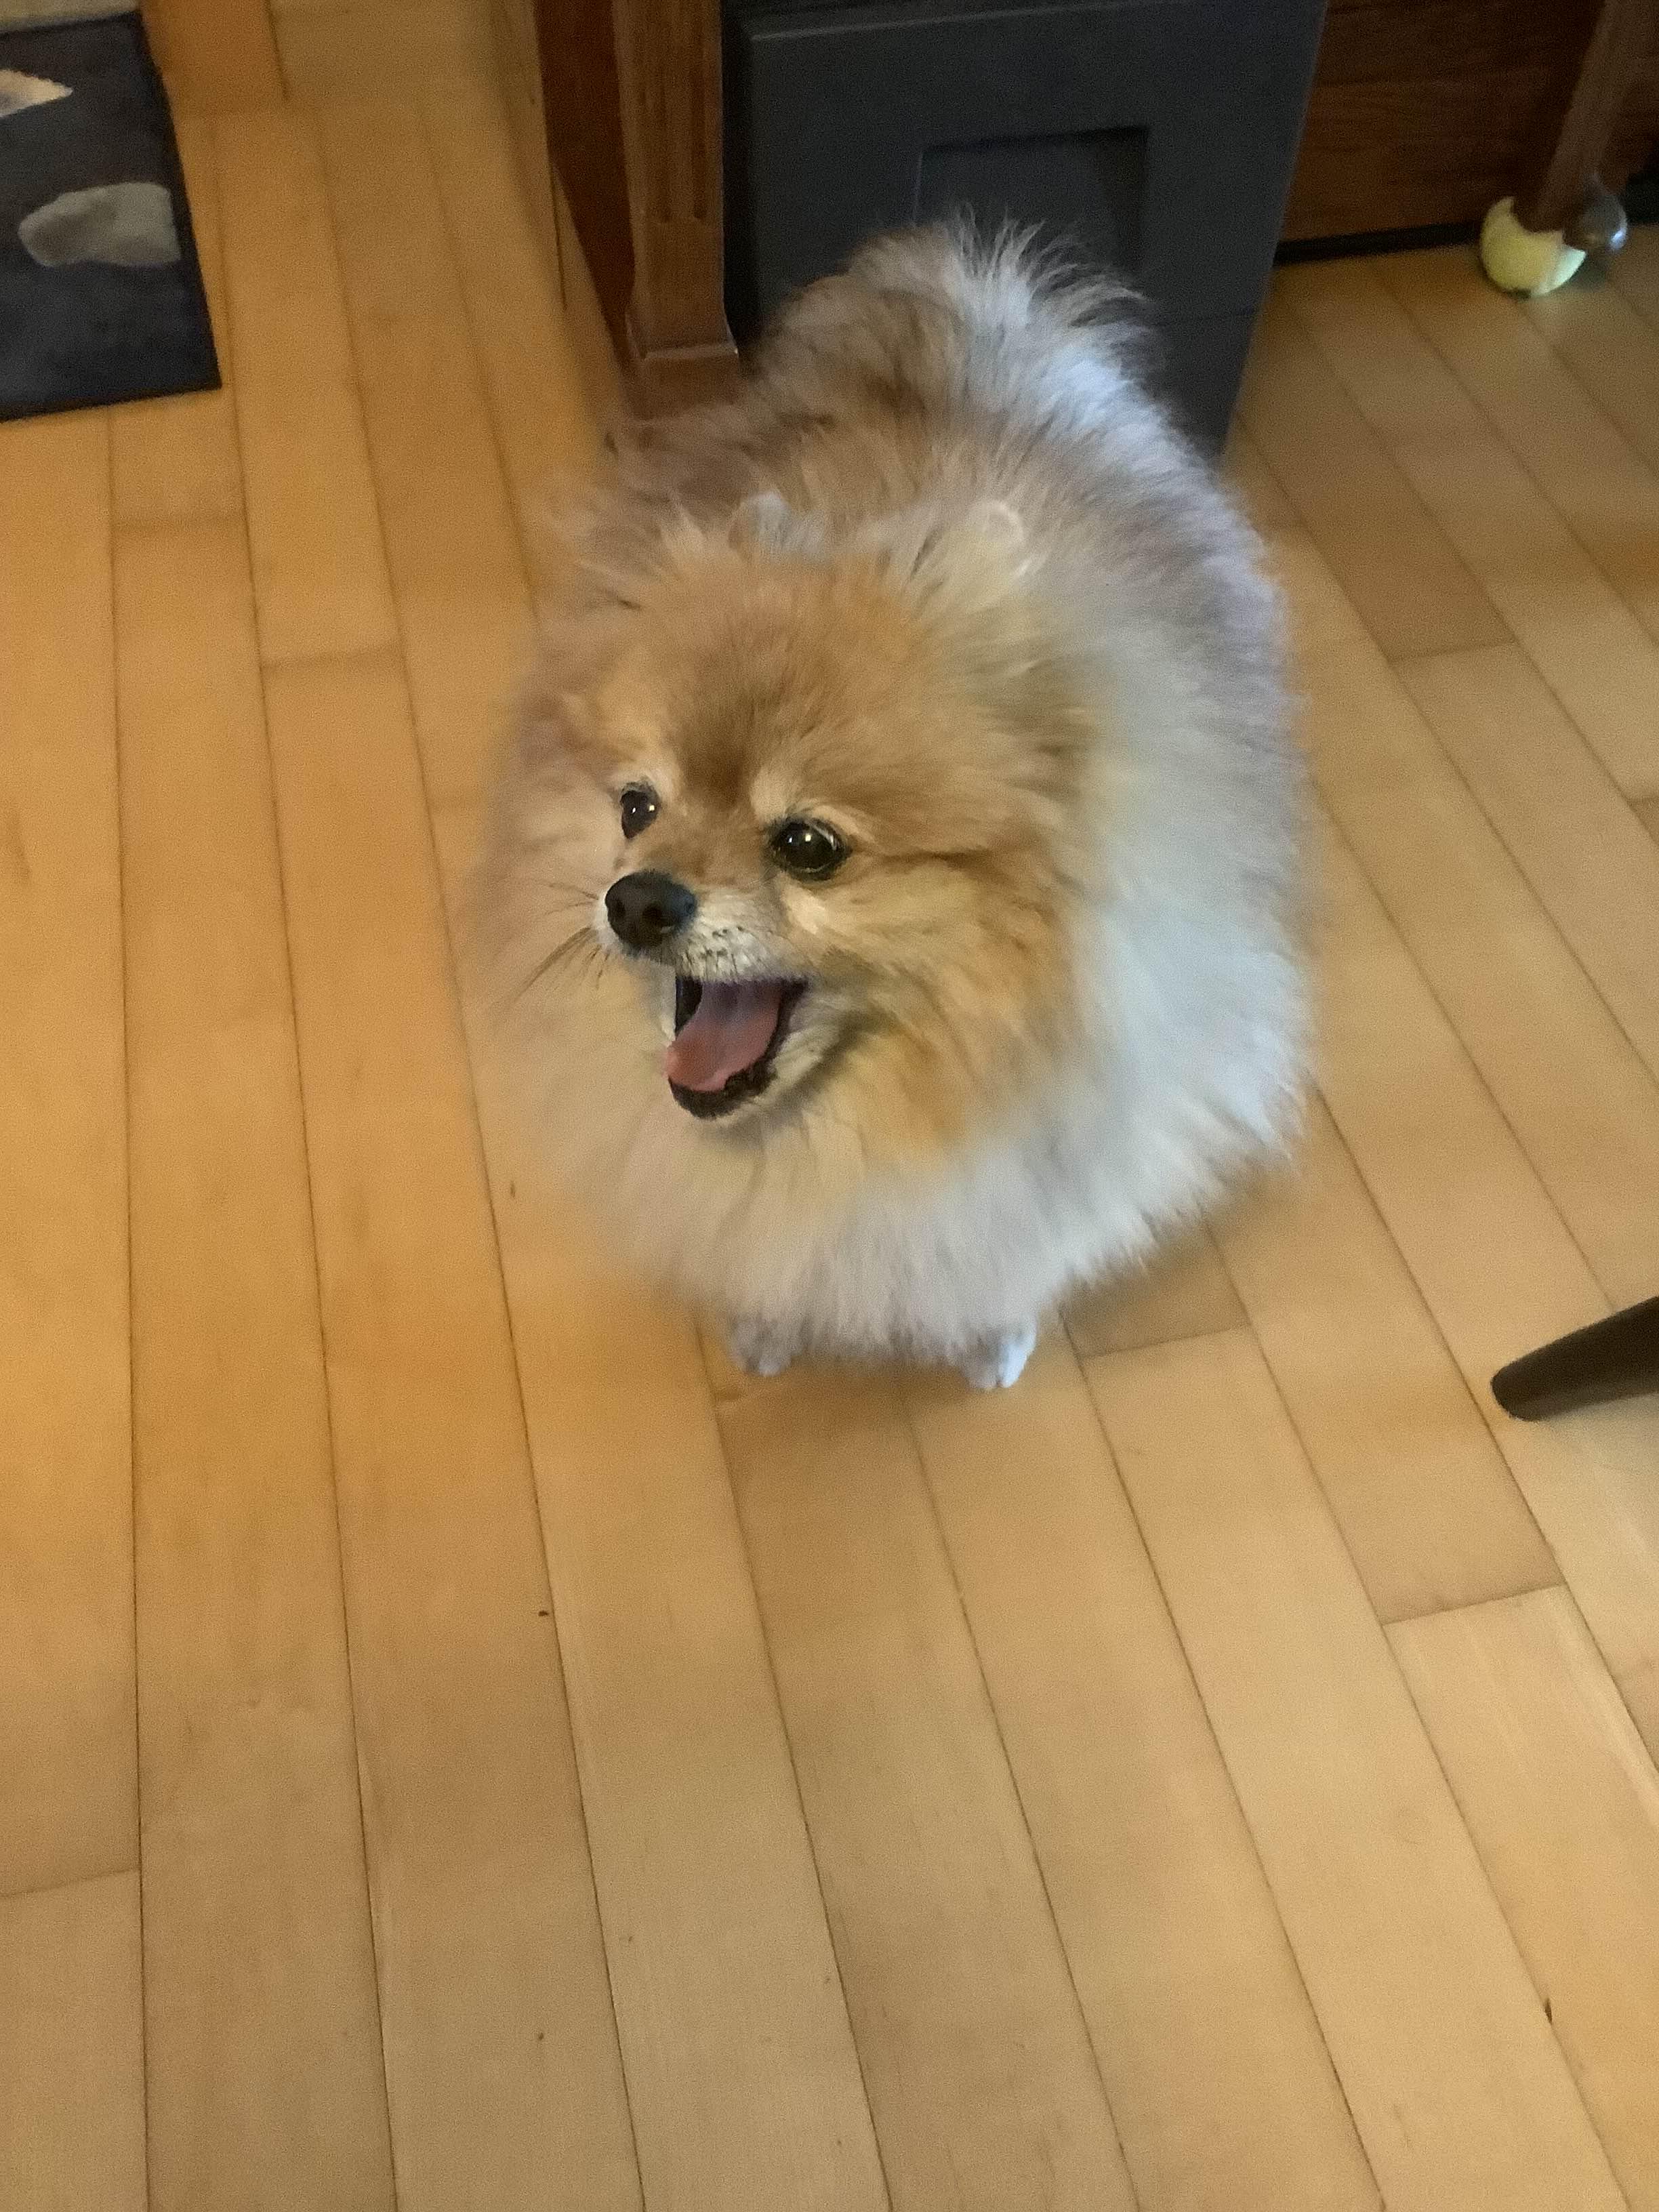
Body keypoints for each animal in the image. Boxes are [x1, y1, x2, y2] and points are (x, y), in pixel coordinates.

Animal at [479, 226, 1306, 1390]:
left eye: (808, 845)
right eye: (637, 807)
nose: (637, 900)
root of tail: (967, 343)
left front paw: (997, 1333)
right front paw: (768, 1321)